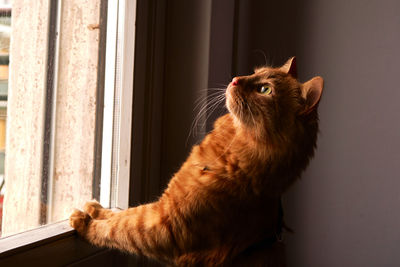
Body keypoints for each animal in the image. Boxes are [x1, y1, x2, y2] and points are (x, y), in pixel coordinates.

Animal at [70, 57, 324, 266]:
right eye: (253, 73)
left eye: (264, 89)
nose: (235, 79)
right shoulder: (164, 206)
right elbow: (127, 214)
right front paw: (97, 209)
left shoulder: (166, 228)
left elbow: (121, 229)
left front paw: (85, 223)